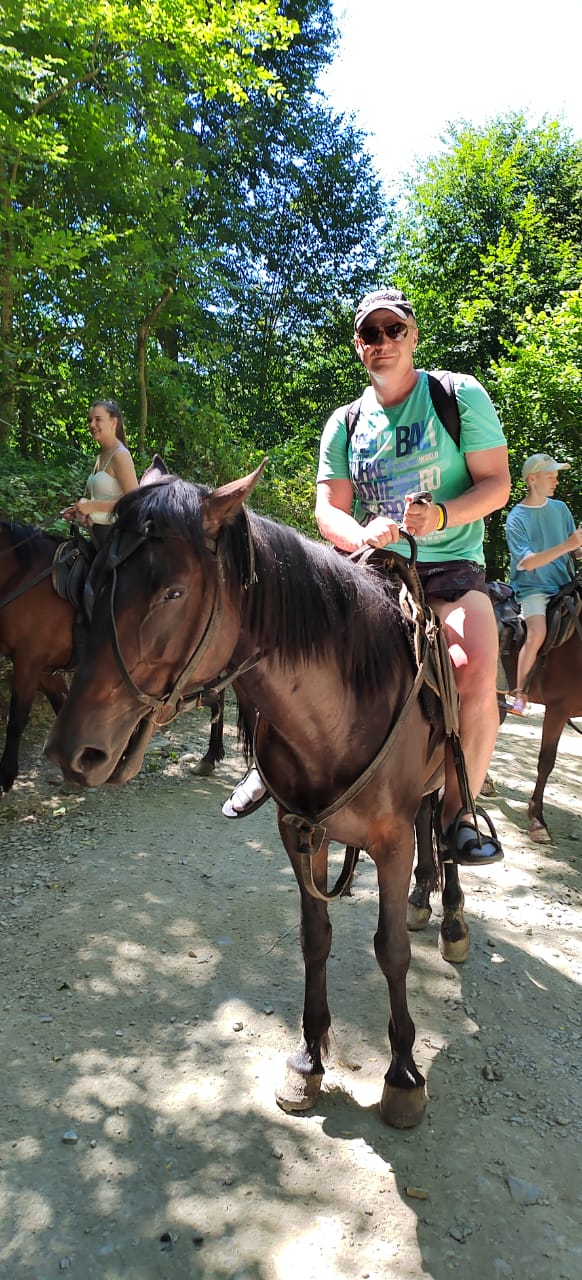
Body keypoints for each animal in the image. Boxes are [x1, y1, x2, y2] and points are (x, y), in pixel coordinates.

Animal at [46, 465, 473, 1126]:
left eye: (173, 594)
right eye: (92, 586)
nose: (74, 752)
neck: (340, 711)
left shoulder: (389, 841)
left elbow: (391, 949)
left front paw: (403, 1073)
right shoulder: (300, 832)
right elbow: (315, 939)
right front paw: (309, 1060)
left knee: (448, 827)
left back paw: (450, 912)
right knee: (430, 825)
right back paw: (424, 894)